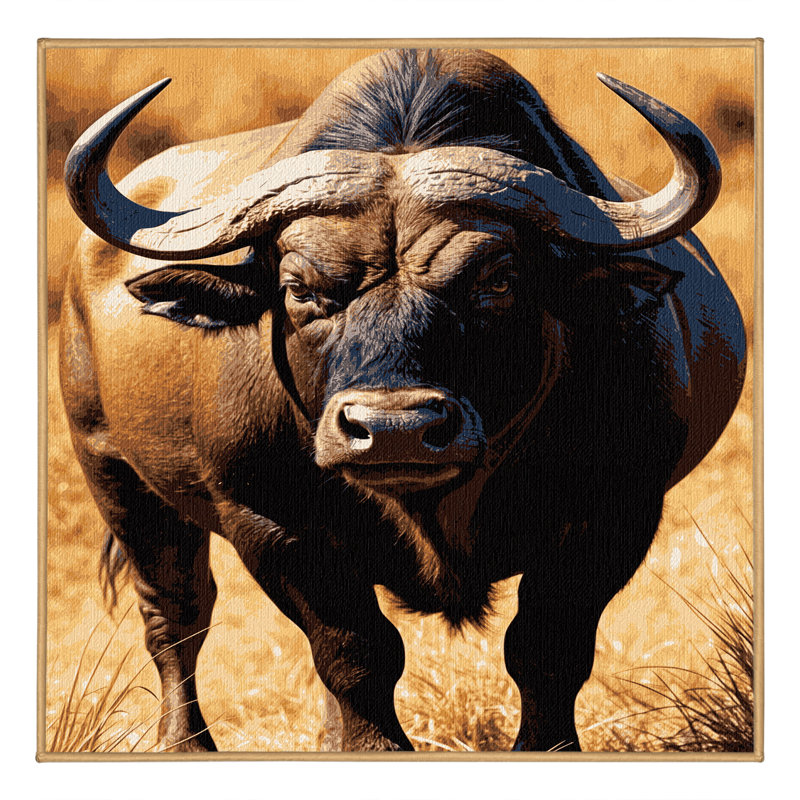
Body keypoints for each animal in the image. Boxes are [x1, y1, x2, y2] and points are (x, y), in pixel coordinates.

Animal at [60, 48, 745, 752]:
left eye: (498, 280)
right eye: (299, 287)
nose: (394, 429)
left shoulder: (616, 511)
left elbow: (546, 650)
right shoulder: (270, 522)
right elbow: (356, 651)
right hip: (116, 475)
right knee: (176, 614)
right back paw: (187, 743)